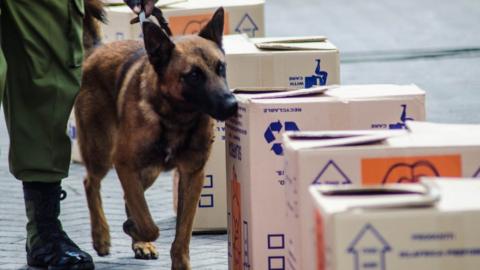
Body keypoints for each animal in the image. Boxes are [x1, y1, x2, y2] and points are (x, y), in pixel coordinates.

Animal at [79, 3, 238, 268]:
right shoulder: (124, 164)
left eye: (221, 68)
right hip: (102, 154)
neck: (176, 118)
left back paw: (138, 243)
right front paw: (136, 229)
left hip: (149, 172)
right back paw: (101, 236)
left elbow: (182, 233)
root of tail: (98, 50)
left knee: (129, 197)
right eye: (193, 75)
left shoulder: (192, 175)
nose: (232, 105)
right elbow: (148, 224)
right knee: (91, 183)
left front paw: (179, 262)